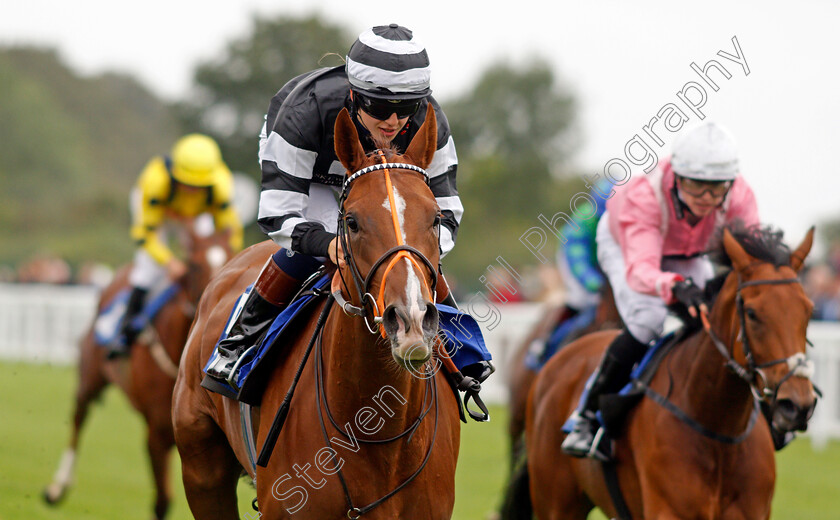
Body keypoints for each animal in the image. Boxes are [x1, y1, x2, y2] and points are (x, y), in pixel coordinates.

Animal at [46, 223, 233, 520]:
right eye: (193, 264)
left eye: (232, 253)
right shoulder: (156, 433)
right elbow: (162, 502)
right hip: (90, 376)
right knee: (78, 418)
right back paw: (57, 487)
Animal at [506, 228, 820, 520]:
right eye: (753, 313)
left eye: (808, 310)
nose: (797, 406)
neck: (719, 429)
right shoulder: (668, 510)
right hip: (555, 500)